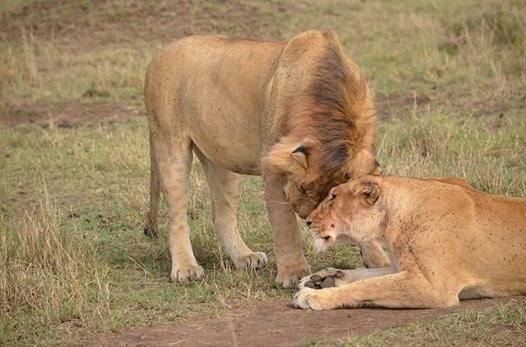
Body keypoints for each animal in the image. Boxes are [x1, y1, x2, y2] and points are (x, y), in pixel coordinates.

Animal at [144, 29, 388, 286]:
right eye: (303, 189)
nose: (306, 217)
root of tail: (161, 52)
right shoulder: (272, 163)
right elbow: (284, 223)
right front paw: (293, 272)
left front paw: (378, 260)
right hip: (169, 142)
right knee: (176, 215)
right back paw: (186, 268)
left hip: (222, 155)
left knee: (222, 216)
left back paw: (245, 257)